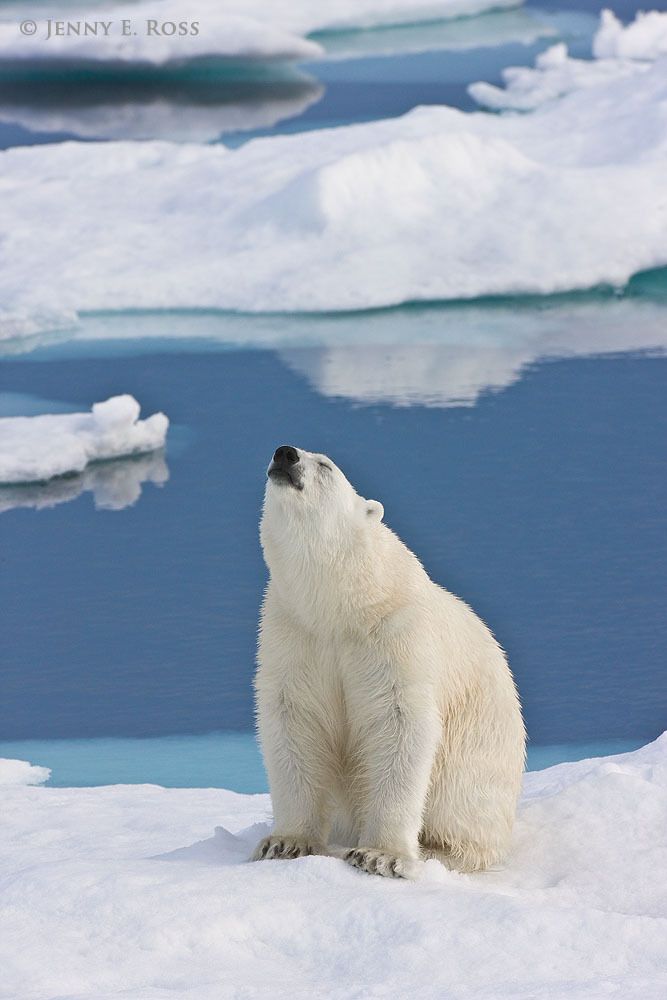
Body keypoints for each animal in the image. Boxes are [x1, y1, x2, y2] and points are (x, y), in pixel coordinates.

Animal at [252, 445, 526, 878]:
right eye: (282, 453)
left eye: (326, 465)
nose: (285, 454)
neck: (341, 603)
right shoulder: (295, 633)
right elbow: (295, 719)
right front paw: (284, 842)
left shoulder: (394, 631)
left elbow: (398, 722)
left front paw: (381, 855)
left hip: (477, 769)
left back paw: (439, 851)